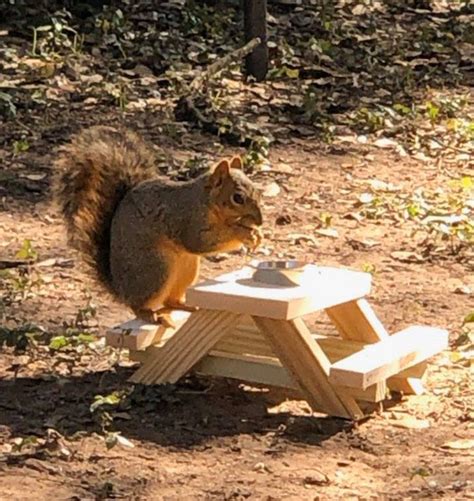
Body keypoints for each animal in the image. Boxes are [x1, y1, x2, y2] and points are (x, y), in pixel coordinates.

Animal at [56, 123, 264, 322]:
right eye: (237, 198)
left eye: (257, 190)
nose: (260, 221)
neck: (207, 202)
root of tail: (120, 290)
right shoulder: (187, 219)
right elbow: (199, 242)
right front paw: (242, 232)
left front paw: (256, 234)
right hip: (156, 268)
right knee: (138, 304)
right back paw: (148, 314)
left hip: (187, 268)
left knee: (169, 300)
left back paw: (185, 306)